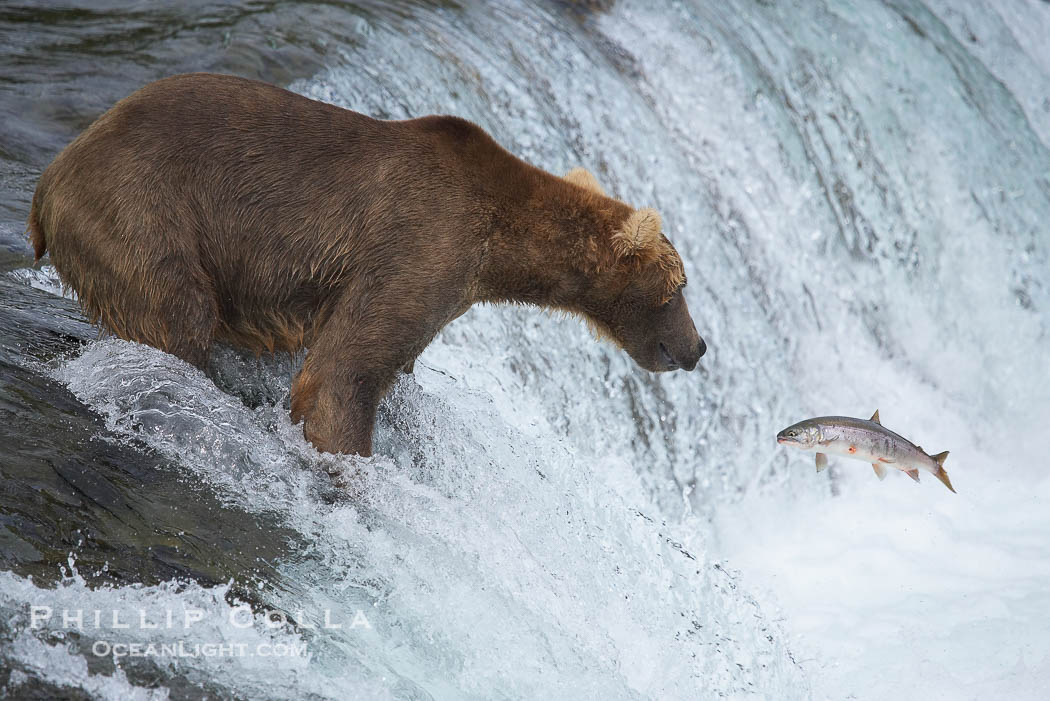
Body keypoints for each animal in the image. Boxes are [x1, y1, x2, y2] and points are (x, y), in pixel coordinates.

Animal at [28, 73, 705, 457]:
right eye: (677, 289)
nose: (697, 347)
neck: (501, 245)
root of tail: (50, 177)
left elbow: (389, 358)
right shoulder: (422, 241)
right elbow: (342, 374)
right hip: (141, 209)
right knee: (176, 314)